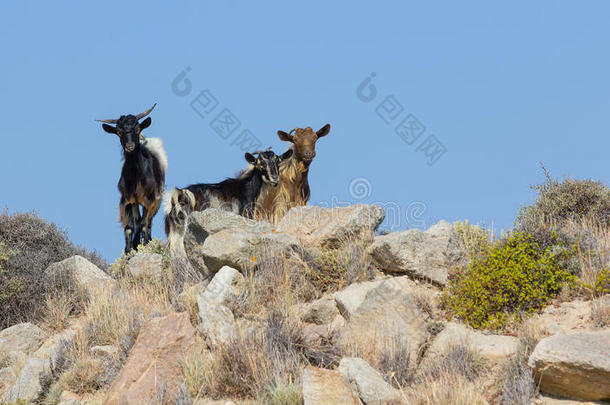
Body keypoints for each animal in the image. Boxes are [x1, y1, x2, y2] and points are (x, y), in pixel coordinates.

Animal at [96, 103, 166, 252]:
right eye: (119, 132)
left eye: (137, 128)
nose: (130, 146)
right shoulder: (127, 199)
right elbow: (129, 227)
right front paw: (128, 251)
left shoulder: (149, 199)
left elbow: (145, 224)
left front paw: (145, 246)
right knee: (137, 221)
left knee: (148, 222)